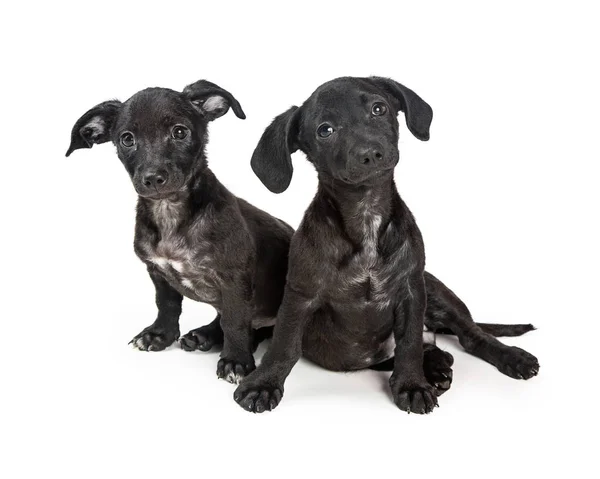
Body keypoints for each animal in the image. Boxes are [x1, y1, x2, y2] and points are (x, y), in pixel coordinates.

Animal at [67, 80, 292, 384]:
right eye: (127, 139)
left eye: (180, 132)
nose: (153, 178)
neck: (170, 212)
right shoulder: (157, 272)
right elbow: (167, 305)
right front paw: (159, 335)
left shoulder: (235, 280)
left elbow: (235, 322)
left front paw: (236, 361)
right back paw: (205, 335)